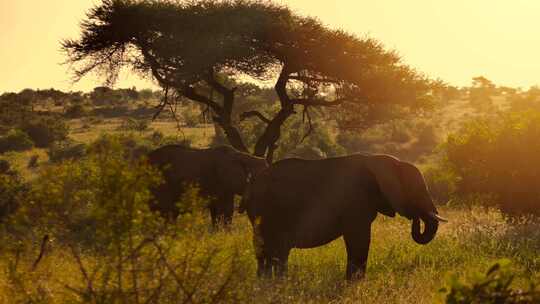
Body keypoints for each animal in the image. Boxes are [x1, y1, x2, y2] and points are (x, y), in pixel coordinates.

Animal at [243, 154, 450, 280]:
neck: (381, 160)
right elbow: (359, 239)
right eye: (416, 190)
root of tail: (253, 184)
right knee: (276, 251)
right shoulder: (356, 201)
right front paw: (355, 283)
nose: (416, 216)